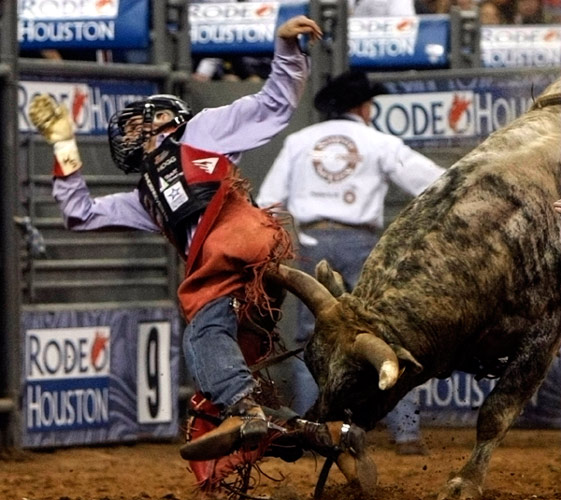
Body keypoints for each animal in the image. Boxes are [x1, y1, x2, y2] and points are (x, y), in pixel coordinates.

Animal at [266, 76, 560, 498]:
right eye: (311, 364)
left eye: (359, 384)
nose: (311, 433)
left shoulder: (543, 335)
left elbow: (497, 410)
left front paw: (465, 482)